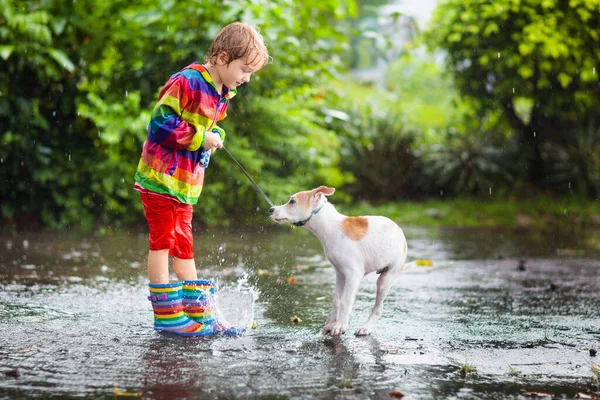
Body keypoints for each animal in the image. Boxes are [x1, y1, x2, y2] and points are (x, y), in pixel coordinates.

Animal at [270, 186, 408, 336]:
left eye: (292, 201)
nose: (271, 209)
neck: (330, 227)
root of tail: (399, 229)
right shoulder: (340, 274)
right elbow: (337, 300)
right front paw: (332, 324)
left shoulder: (353, 275)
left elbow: (346, 302)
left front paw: (341, 326)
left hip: (385, 279)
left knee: (378, 308)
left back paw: (366, 327)